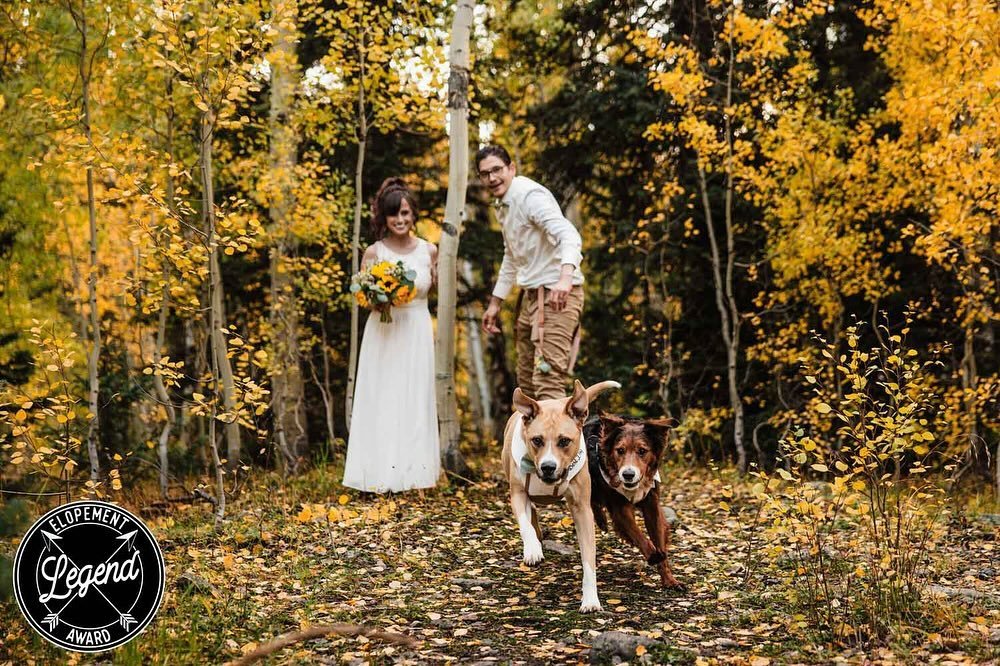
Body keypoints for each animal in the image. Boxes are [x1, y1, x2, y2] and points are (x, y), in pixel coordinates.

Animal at [500, 378, 616, 612]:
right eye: (536, 440)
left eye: (564, 441)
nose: (548, 467)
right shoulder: (517, 494)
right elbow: (524, 523)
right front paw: (532, 549)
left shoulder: (582, 509)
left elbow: (588, 559)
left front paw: (590, 599)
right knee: (531, 515)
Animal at [584, 412, 684, 588]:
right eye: (620, 450)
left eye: (642, 451)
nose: (628, 474)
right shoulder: (619, 508)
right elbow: (638, 535)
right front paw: (653, 554)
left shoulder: (652, 504)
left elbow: (658, 538)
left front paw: (669, 579)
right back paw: (601, 520)